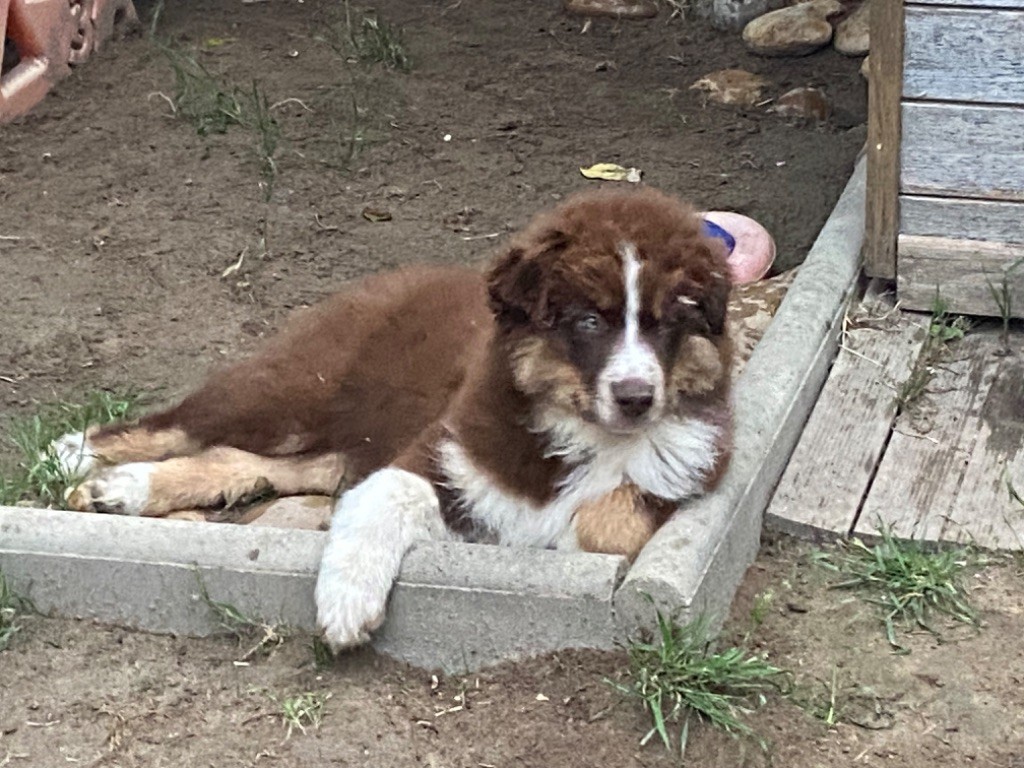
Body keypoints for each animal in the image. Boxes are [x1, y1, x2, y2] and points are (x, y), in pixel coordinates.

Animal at [54, 186, 737, 651]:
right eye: (589, 320)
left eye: (670, 322)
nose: (636, 398)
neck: (582, 435)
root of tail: (384, 278)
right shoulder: (438, 451)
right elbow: (383, 501)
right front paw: (346, 605)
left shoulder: (689, 469)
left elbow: (610, 516)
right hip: (293, 390)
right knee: (180, 423)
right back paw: (82, 457)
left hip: (334, 441)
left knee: (246, 461)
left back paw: (121, 491)